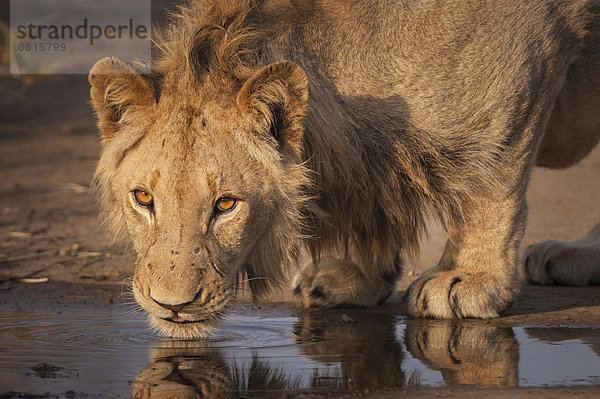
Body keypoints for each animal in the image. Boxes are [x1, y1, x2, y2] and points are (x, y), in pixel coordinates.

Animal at [89, 0, 600, 338]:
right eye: (143, 199)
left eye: (226, 204)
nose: (171, 306)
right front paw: (354, 276)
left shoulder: (523, 55)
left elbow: (490, 181)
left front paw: (468, 279)